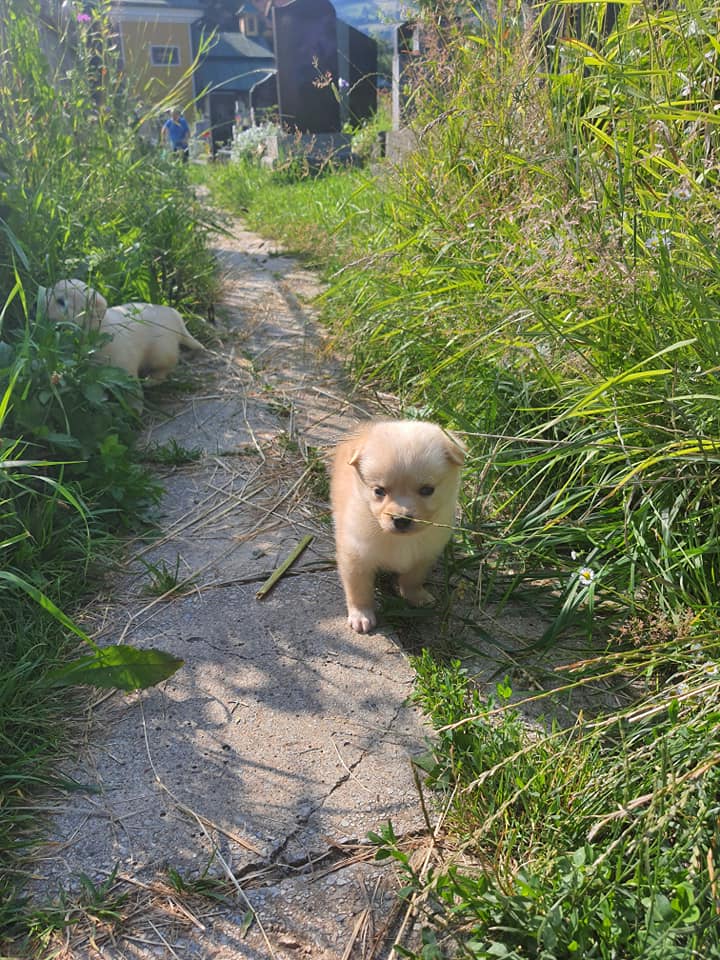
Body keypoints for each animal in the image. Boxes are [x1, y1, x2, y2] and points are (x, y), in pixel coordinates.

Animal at [40, 278, 204, 382]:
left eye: (61, 301)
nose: (37, 304)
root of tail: (176, 317)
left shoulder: (125, 366)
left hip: (161, 352)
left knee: (165, 369)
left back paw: (151, 380)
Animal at [330, 418, 464, 632]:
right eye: (379, 491)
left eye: (427, 490)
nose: (401, 520)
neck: (401, 540)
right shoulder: (356, 558)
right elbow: (359, 590)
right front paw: (361, 615)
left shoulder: (423, 556)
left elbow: (412, 579)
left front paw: (416, 596)